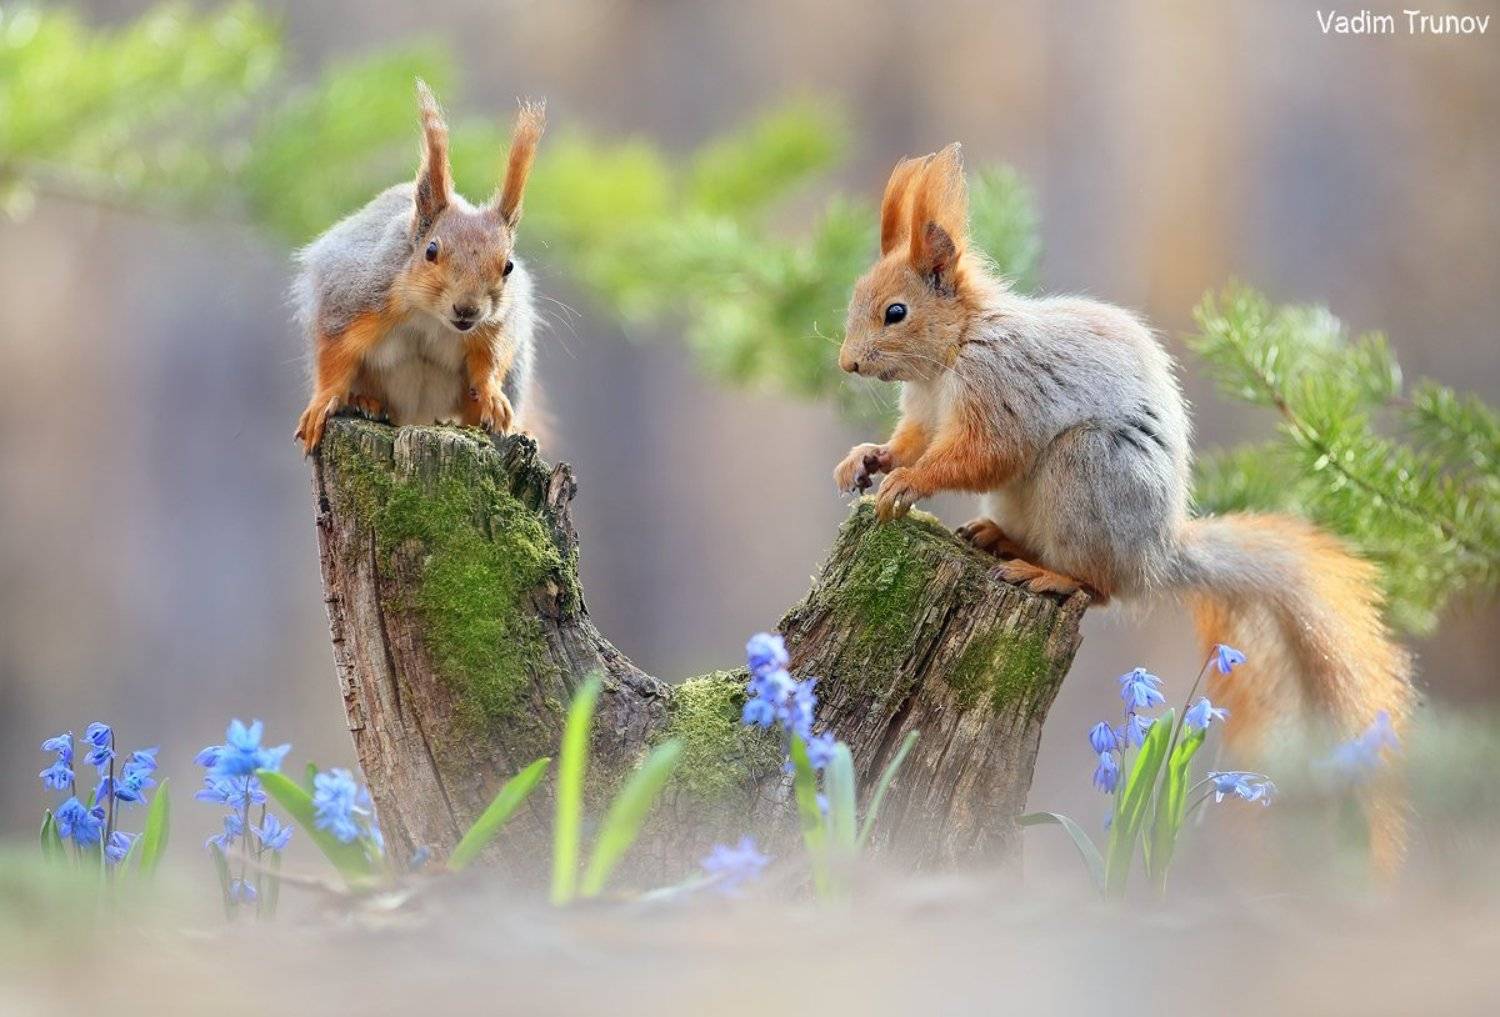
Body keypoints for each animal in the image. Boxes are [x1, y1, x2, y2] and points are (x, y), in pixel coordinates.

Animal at [293, 81, 545, 454]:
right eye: (431, 251)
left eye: (509, 266)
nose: (467, 309)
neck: (430, 316)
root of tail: (417, 417)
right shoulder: (357, 295)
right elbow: (334, 353)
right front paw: (322, 403)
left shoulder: (493, 324)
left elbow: (489, 360)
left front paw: (491, 396)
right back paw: (366, 402)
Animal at [833, 144, 1415, 873]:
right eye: (858, 300)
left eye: (895, 312)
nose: (847, 363)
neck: (955, 349)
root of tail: (1156, 556)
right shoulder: (923, 411)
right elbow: (908, 442)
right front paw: (865, 460)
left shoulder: (999, 395)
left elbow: (976, 455)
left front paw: (907, 484)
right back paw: (999, 538)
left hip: (1089, 473)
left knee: (1100, 587)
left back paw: (1048, 574)